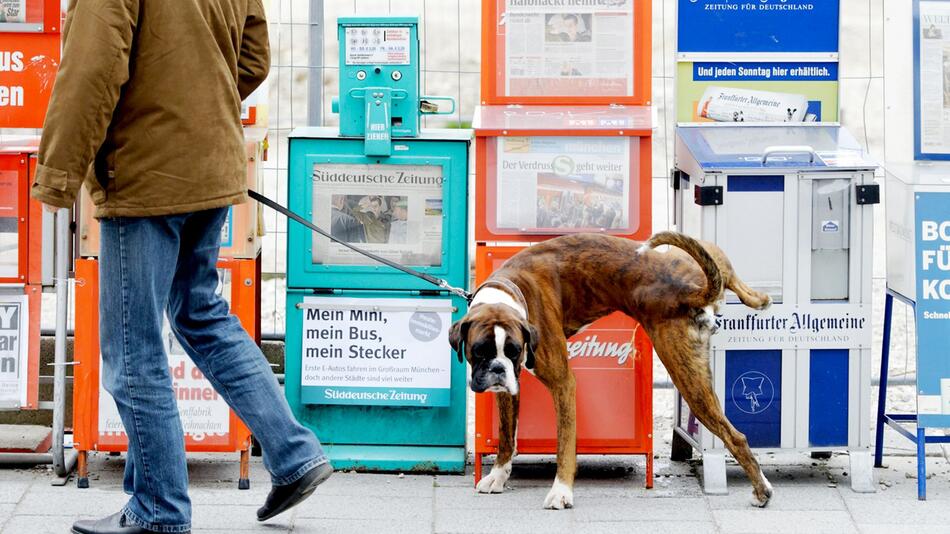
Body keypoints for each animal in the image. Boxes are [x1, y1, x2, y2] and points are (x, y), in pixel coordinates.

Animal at [452, 230, 772, 510]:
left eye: (514, 350)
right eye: (479, 350)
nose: (497, 368)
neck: (512, 289)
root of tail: (691, 291)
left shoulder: (562, 383)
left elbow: (564, 443)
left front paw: (561, 492)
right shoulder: (508, 390)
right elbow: (507, 435)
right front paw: (498, 475)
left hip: (688, 379)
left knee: (735, 436)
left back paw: (761, 491)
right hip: (686, 267)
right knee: (720, 263)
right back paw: (759, 298)